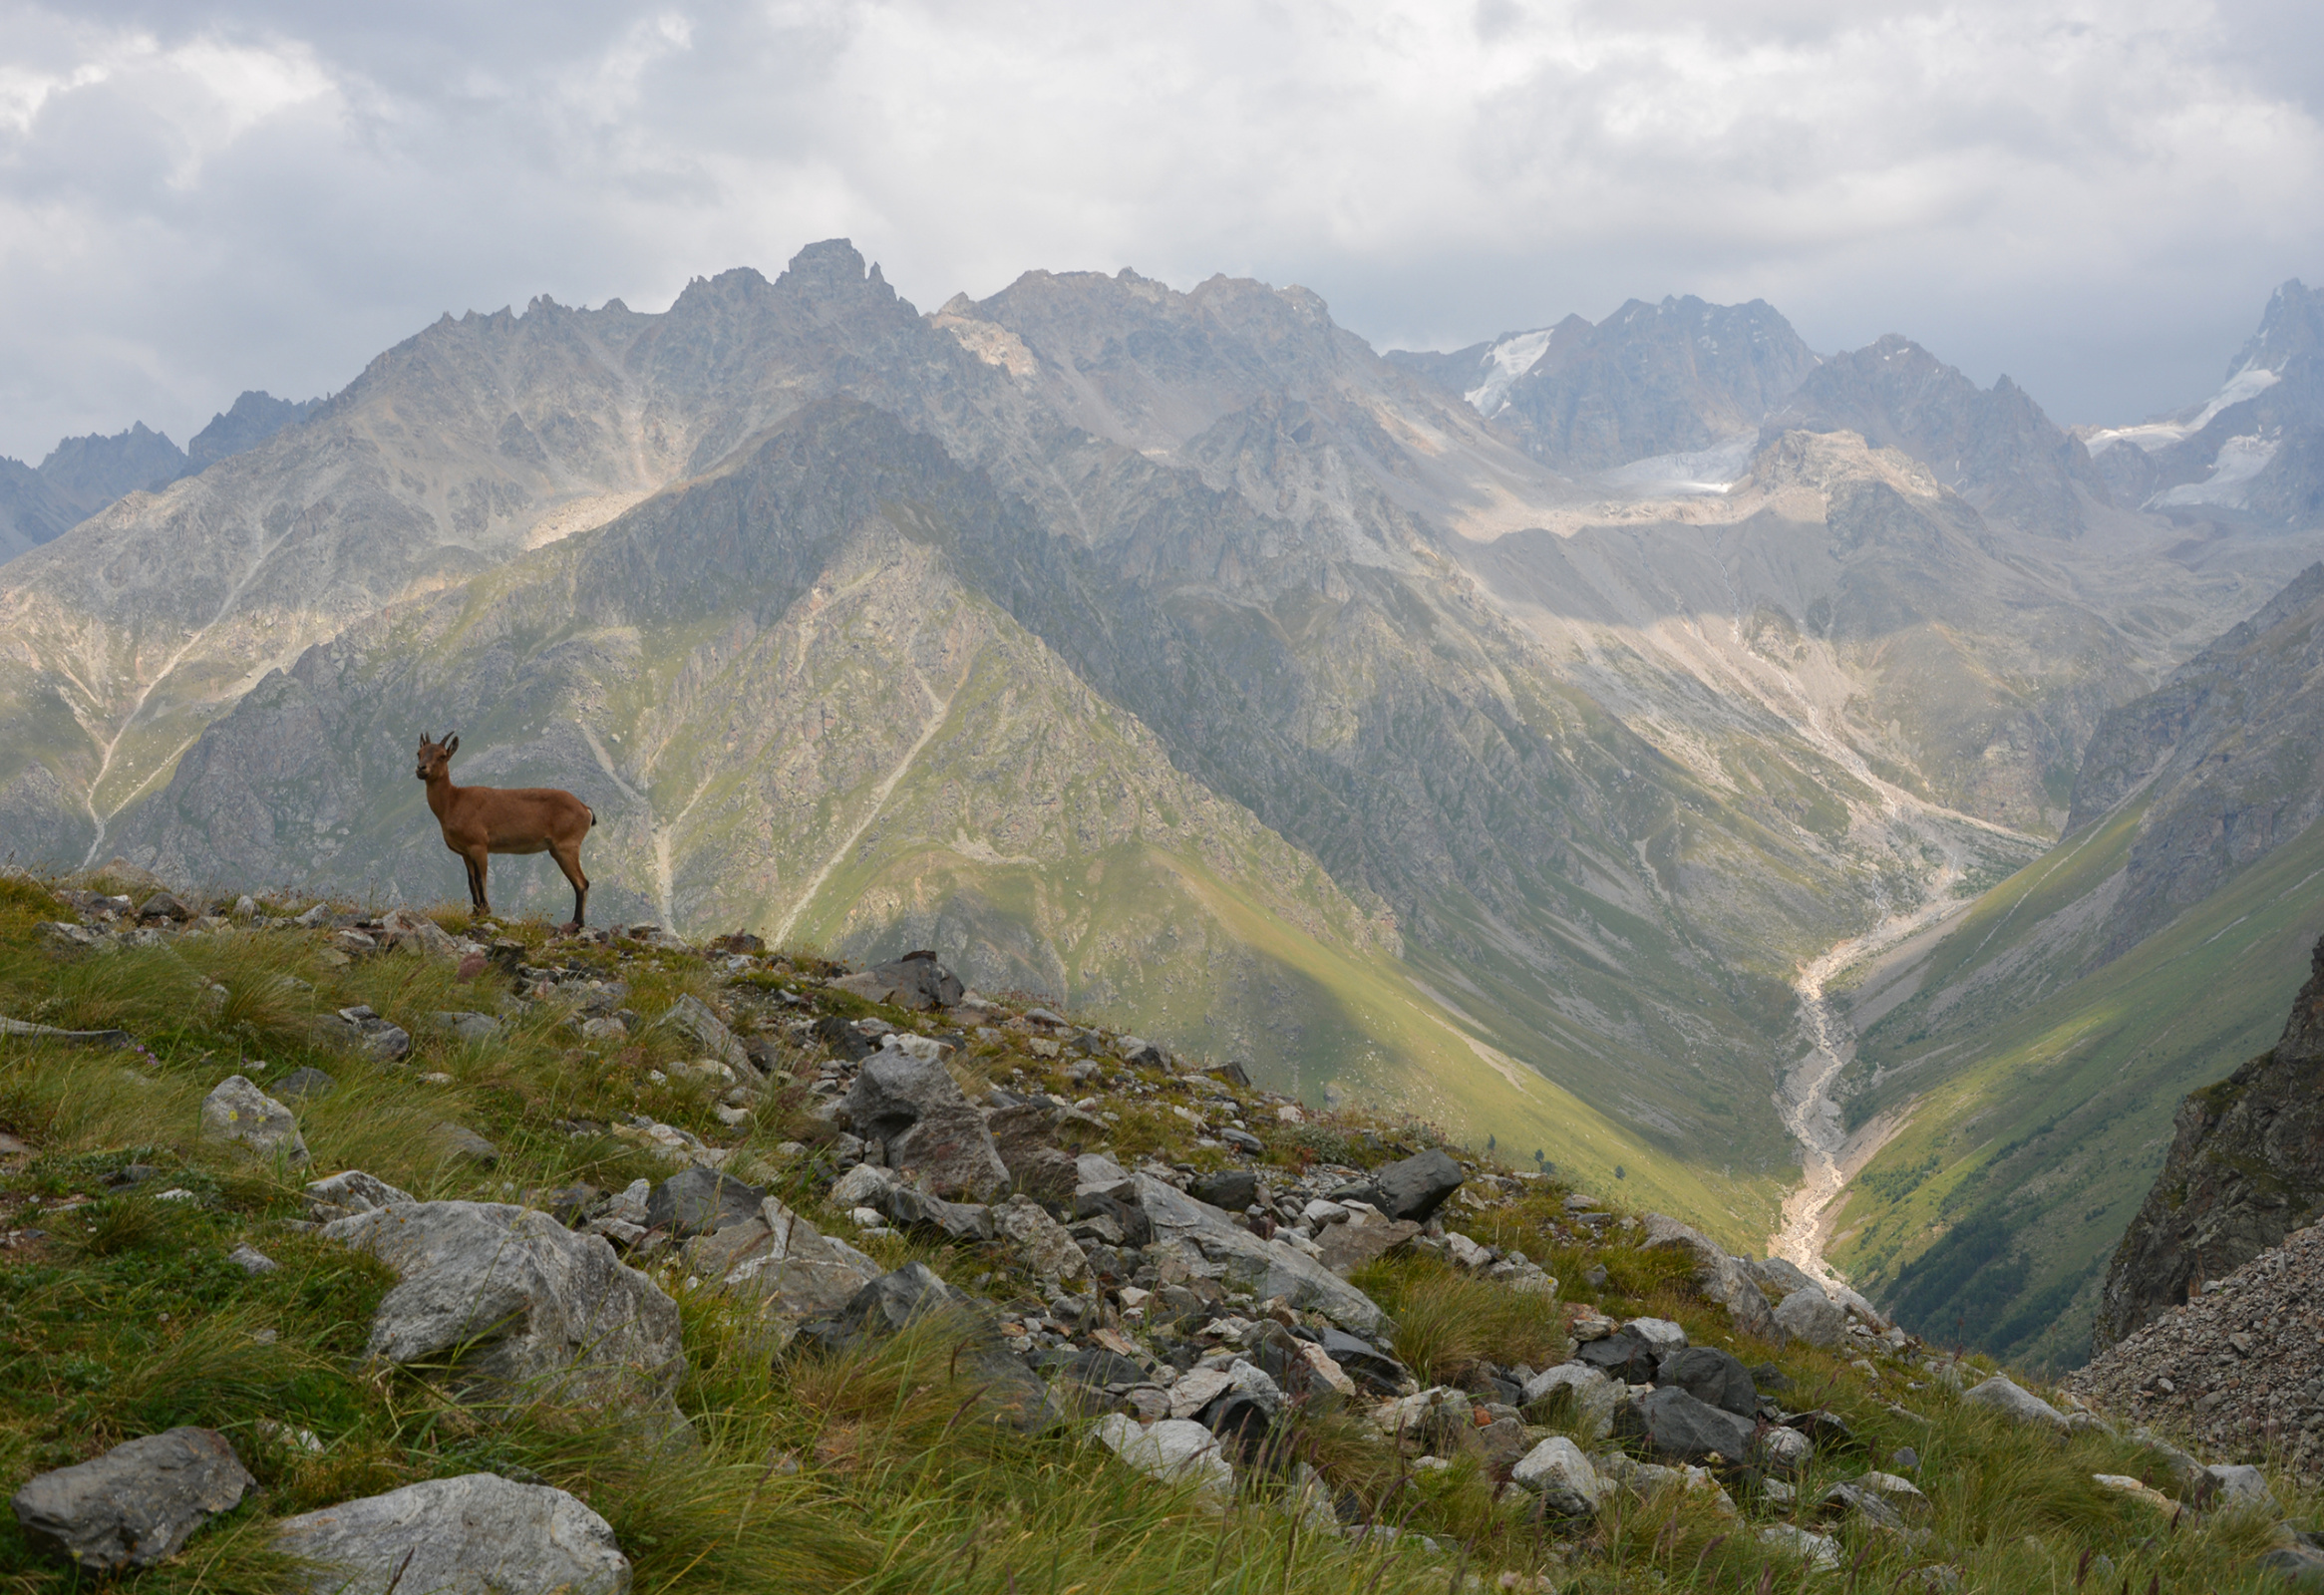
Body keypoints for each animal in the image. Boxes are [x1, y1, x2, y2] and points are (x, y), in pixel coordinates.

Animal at [418, 739, 599, 939]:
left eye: (442, 755)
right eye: (419, 753)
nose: (421, 768)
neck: (453, 802)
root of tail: (585, 809)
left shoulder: (479, 845)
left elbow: (481, 879)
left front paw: (485, 911)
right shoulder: (465, 853)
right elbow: (471, 882)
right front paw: (474, 912)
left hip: (567, 846)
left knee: (582, 883)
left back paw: (577, 924)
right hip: (557, 850)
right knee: (578, 883)